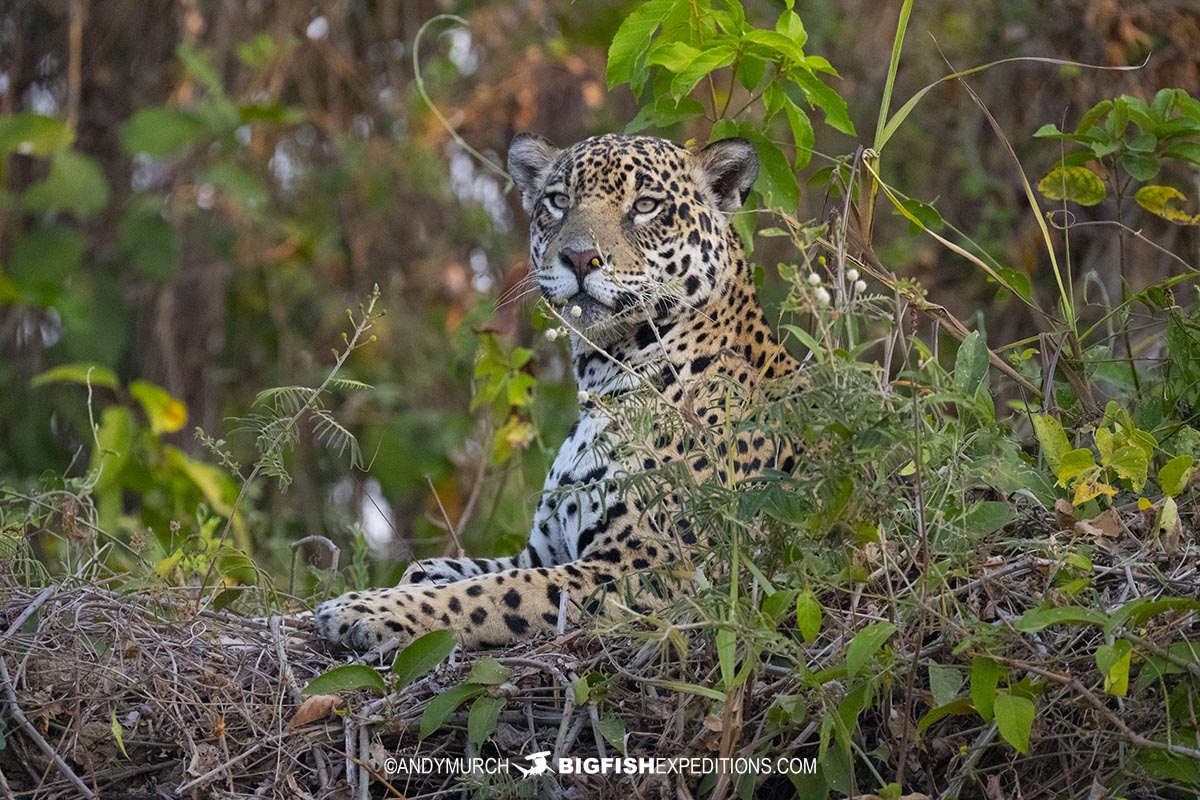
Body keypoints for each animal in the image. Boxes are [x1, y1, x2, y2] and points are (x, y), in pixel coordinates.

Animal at [315, 132, 799, 650]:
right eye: (560, 201)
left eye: (645, 206)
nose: (581, 258)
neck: (601, 378)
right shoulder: (544, 551)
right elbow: (463, 569)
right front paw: (399, 584)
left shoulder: (650, 570)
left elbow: (488, 593)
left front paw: (363, 608)